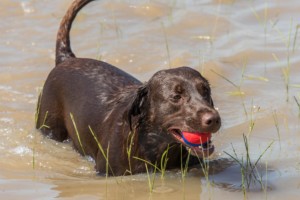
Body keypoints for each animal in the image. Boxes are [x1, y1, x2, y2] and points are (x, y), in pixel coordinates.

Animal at [37, 0, 220, 175]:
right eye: (176, 97)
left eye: (205, 91)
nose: (214, 119)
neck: (154, 146)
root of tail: (67, 58)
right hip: (49, 126)